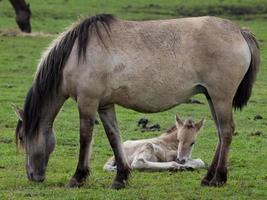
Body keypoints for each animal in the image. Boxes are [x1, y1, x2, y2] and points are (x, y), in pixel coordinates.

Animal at [13, 14, 260, 189]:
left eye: (24, 137)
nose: (32, 176)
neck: (76, 54)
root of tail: (240, 31)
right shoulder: (105, 105)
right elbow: (114, 138)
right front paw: (121, 178)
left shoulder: (87, 103)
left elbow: (85, 138)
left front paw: (78, 178)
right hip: (211, 97)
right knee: (220, 132)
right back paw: (208, 178)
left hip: (220, 97)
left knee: (226, 131)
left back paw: (219, 178)